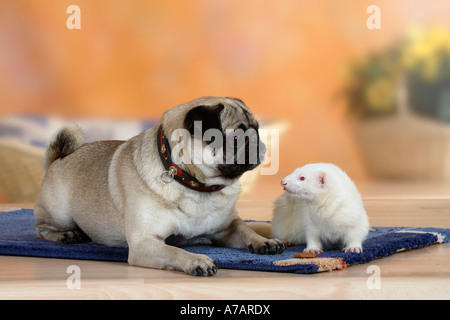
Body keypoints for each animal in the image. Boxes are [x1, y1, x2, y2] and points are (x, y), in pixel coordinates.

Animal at [34, 96, 284, 276]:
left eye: (256, 129)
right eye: (236, 138)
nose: (259, 142)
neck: (196, 186)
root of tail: (57, 160)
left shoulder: (226, 228)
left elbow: (246, 230)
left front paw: (264, 241)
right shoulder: (144, 242)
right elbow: (174, 250)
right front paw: (197, 260)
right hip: (59, 213)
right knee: (41, 229)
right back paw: (67, 235)